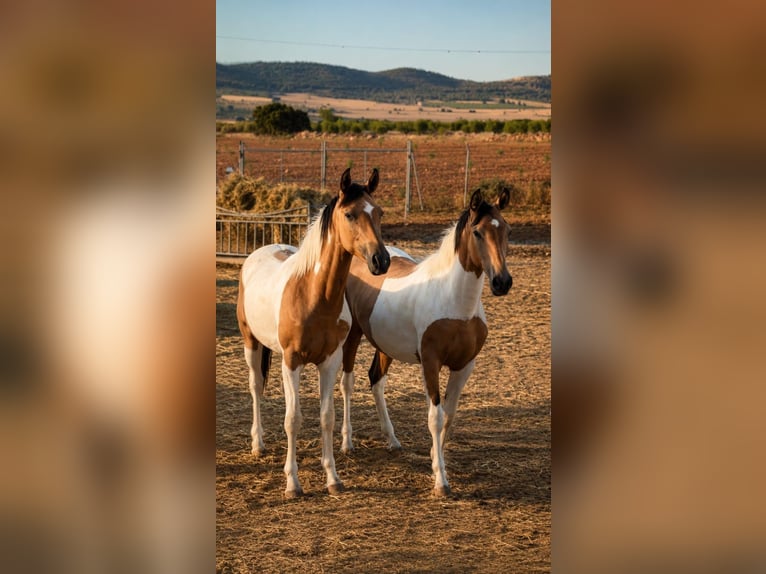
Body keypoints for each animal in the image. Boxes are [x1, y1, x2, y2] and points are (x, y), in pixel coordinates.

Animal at [237, 168, 390, 497]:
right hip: (250, 343)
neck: (312, 294)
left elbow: (326, 417)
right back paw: (258, 443)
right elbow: (293, 420)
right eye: (349, 214)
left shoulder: (329, 361)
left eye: (379, 212)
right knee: (255, 387)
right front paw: (292, 483)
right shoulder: (291, 361)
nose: (380, 260)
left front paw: (333, 478)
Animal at [340, 187, 512, 496]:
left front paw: (435, 459)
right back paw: (347, 443)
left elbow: (450, 416)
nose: (502, 282)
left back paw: (392, 440)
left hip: (385, 345)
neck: (454, 302)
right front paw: (440, 481)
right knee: (347, 382)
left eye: (507, 229)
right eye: (478, 232)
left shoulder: (465, 366)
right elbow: (435, 417)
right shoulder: (430, 364)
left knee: (376, 380)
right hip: (353, 335)